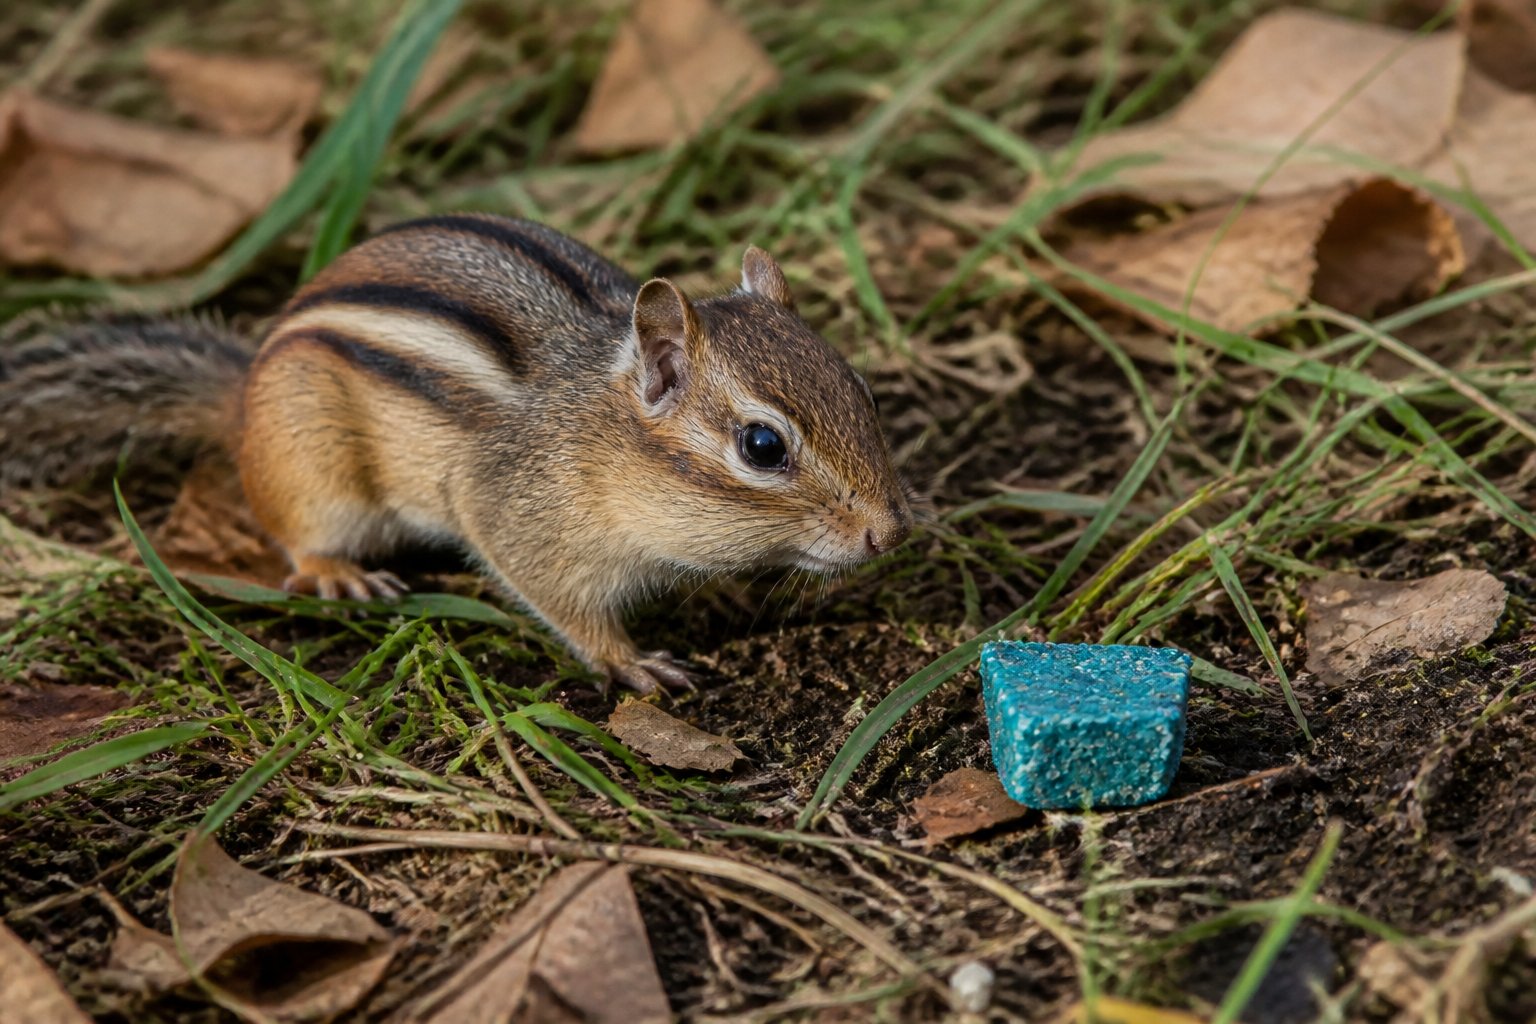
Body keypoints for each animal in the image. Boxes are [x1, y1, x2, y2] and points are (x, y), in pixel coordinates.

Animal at [0, 214, 914, 692]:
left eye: (865, 393)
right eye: (762, 445)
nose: (889, 533)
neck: (599, 431)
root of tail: (243, 397)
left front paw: (721, 591)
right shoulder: (517, 515)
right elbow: (567, 606)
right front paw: (634, 663)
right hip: (314, 474)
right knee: (299, 537)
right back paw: (340, 574)